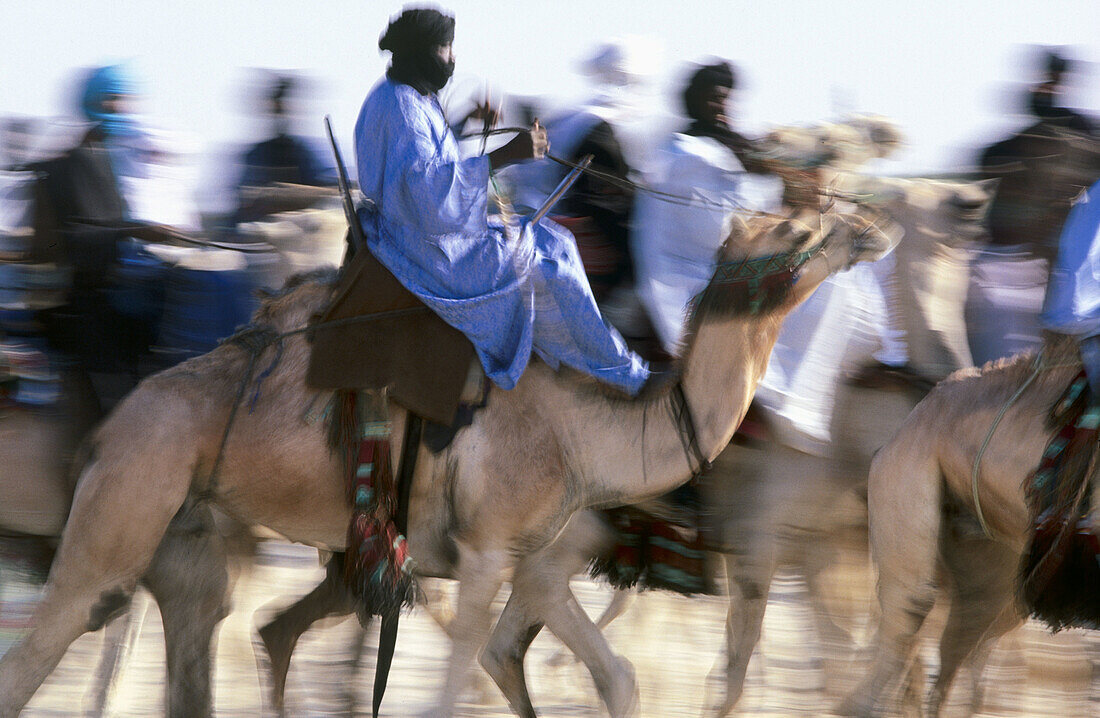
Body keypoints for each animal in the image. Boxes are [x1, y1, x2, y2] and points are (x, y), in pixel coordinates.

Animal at [0, 203, 893, 716]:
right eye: (798, 230)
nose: (871, 227)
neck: (585, 433)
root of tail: (110, 427)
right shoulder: (486, 550)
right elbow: (455, 687)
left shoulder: (535, 559)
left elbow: (617, 676)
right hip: (123, 506)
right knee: (41, 649)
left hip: (192, 538)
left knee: (217, 639)